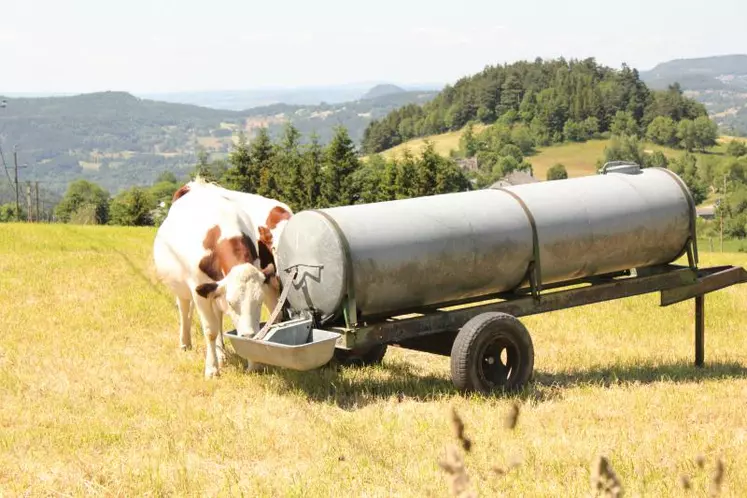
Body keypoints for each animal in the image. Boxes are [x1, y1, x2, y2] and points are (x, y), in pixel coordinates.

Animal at [153, 183, 280, 378]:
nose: (249, 336)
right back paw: (185, 343)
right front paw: (212, 369)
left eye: (259, 302)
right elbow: (210, 331)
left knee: (217, 317)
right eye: (232, 303)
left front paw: (253, 364)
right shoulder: (199, 291)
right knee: (184, 310)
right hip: (181, 288)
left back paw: (221, 354)